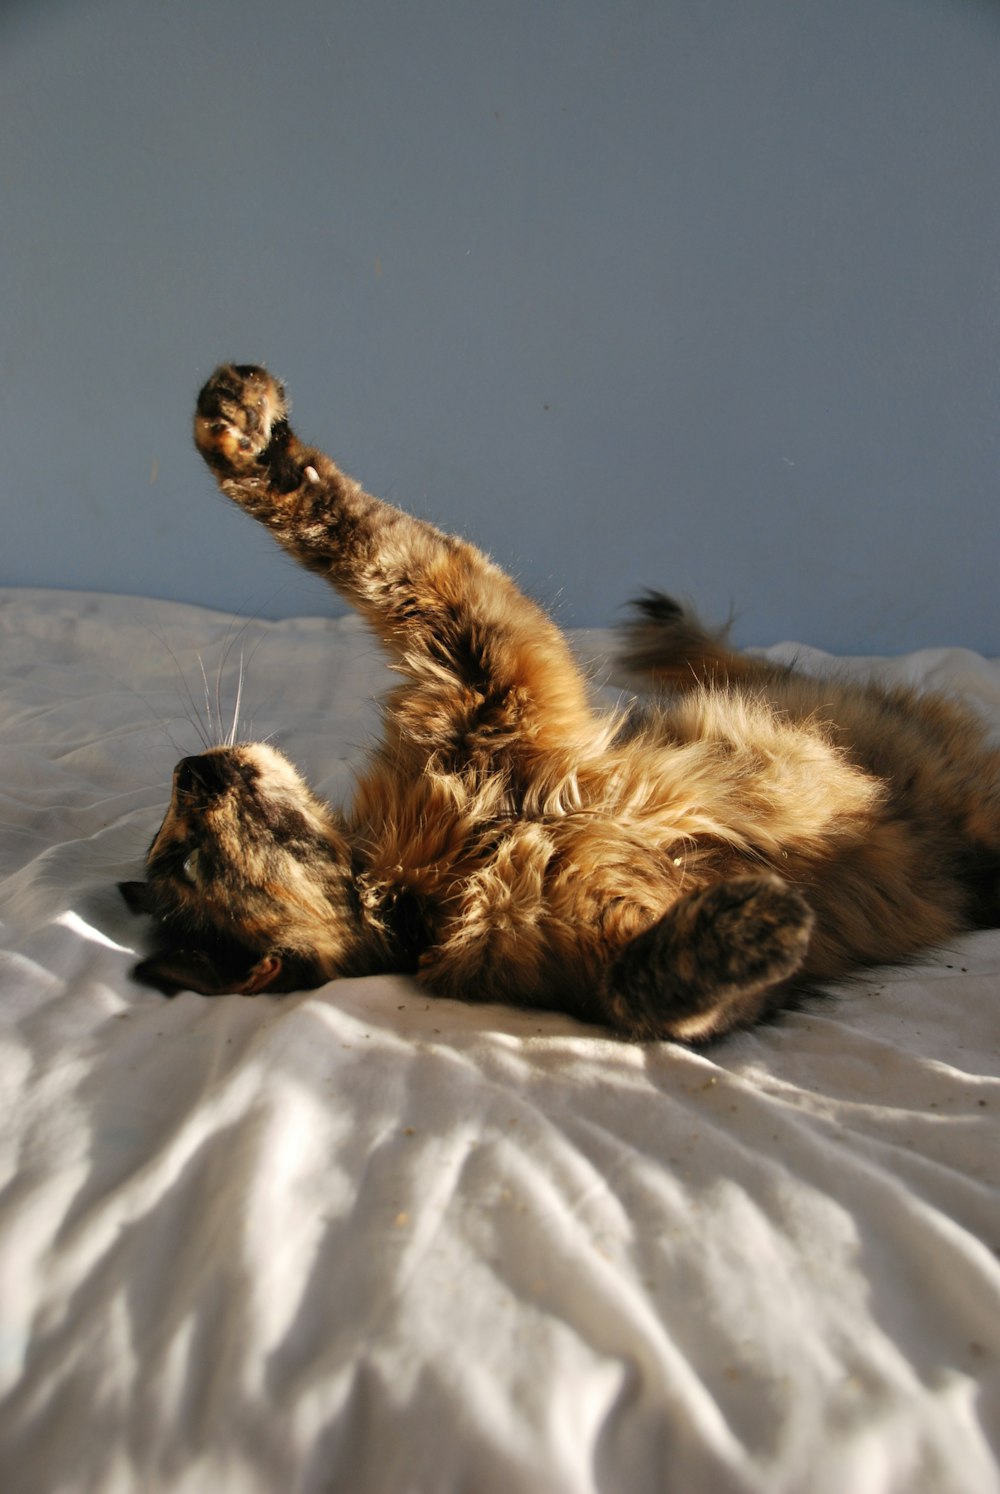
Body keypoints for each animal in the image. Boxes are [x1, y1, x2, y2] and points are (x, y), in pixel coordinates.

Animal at [121, 364, 998, 1039]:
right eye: (185, 857)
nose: (193, 766)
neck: (446, 861)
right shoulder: (570, 947)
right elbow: (651, 995)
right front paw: (752, 925)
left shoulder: (477, 658)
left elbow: (353, 531)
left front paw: (240, 429)